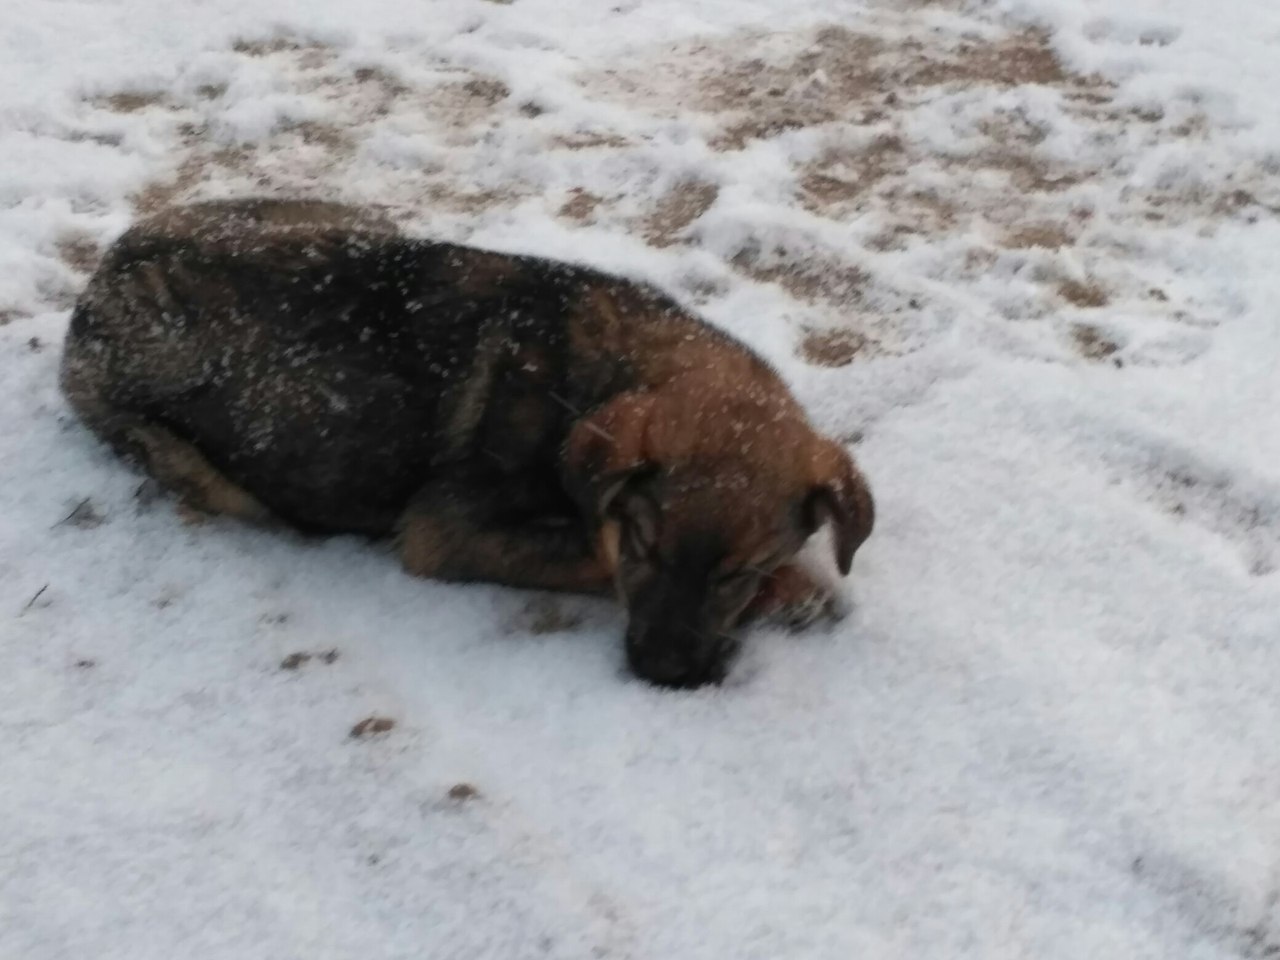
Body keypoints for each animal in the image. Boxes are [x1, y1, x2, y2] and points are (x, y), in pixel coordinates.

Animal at [64, 199, 875, 686]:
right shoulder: (442, 532)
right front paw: (799, 592)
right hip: (198, 471)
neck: (593, 378)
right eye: (646, 547)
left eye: (741, 572)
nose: (664, 675)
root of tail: (97, 285)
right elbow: (592, 547)